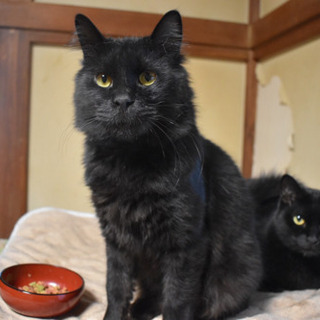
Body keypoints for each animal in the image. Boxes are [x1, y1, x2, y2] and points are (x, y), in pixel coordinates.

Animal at [74, 11, 262, 320]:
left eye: (147, 78)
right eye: (103, 79)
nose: (123, 101)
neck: (132, 162)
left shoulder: (186, 241)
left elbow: (176, 298)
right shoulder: (116, 239)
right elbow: (116, 288)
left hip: (236, 273)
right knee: (151, 294)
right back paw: (139, 310)